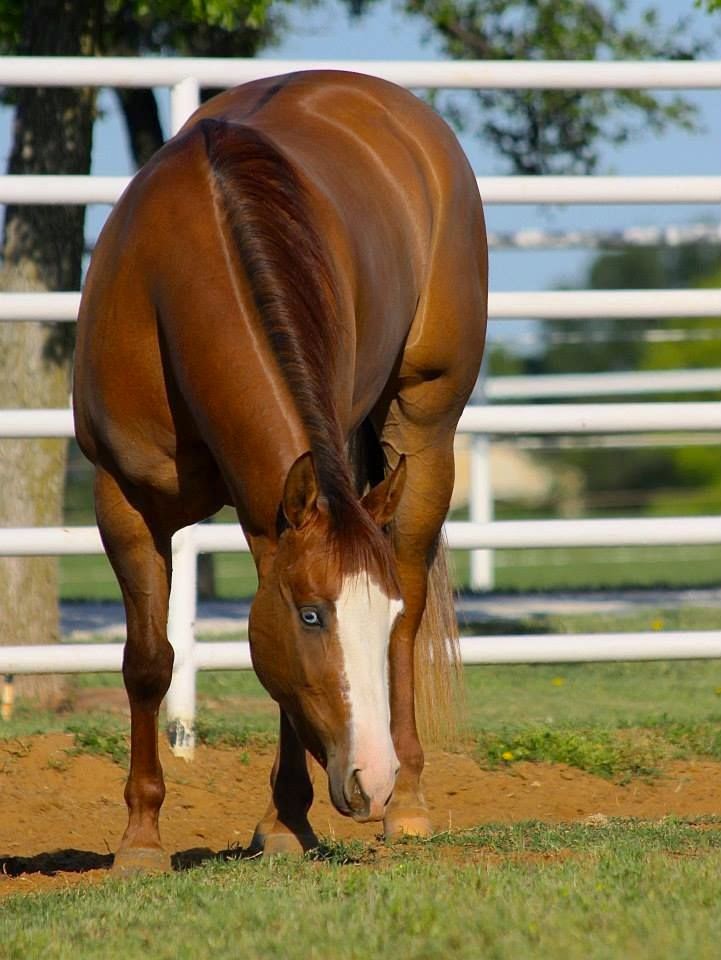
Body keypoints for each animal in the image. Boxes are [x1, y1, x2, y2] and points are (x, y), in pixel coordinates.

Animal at [73, 70, 487, 873]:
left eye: (373, 611)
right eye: (311, 615)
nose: (370, 780)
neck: (175, 281)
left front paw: (288, 822)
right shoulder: (124, 499)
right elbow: (148, 660)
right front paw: (140, 840)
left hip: (426, 432)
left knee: (413, 612)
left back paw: (409, 807)